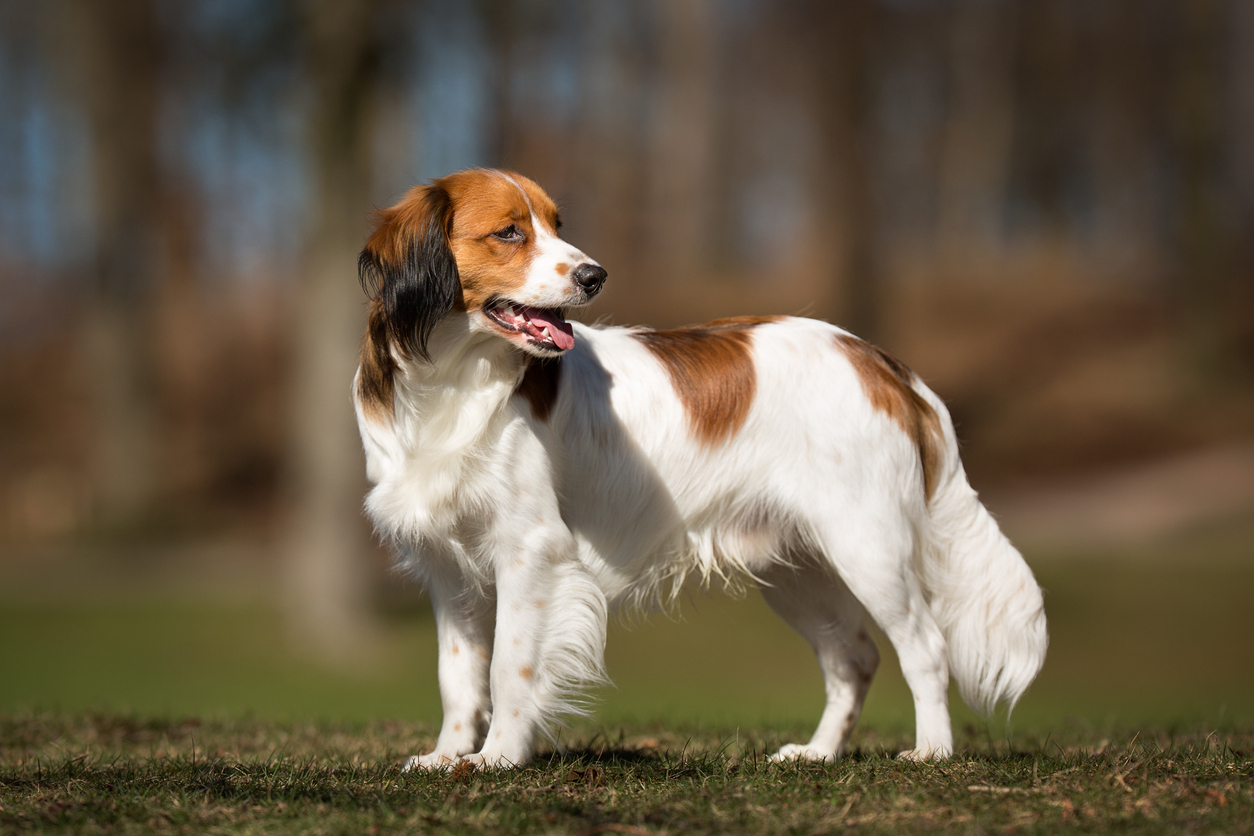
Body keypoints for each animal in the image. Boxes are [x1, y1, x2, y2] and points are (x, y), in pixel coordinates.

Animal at [353, 170, 1048, 772]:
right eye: (508, 232)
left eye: (556, 224)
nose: (595, 275)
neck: (455, 381)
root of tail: (880, 361)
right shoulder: (449, 569)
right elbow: (457, 674)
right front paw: (448, 756)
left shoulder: (530, 551)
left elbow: (510, 666)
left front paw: (498, 757)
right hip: (799, 570)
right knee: (853, 656)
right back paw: (818, 753)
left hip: (867, 547)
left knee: (924, 647)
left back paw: (932, 751)